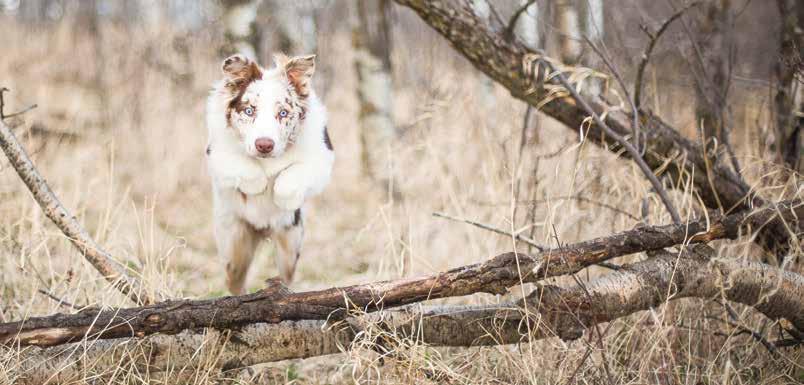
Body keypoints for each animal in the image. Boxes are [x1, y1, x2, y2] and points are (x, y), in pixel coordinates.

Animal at [207, 53, 336, 294]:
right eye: (249, 111)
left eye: (283, 113)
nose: (264, 145)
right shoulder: (215, 152)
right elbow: (241, 163)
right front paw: (257, 184)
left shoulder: (322, 156)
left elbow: (292, 175)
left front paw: (281, 198)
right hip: (233, 245)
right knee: (234, 281)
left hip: (290, 245)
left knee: (286, 275)